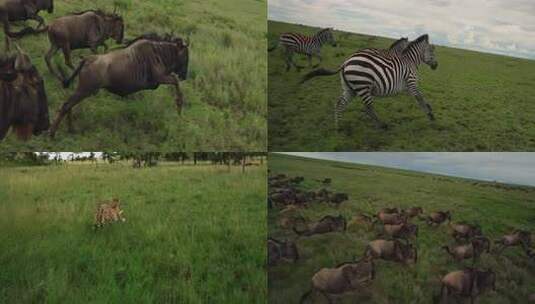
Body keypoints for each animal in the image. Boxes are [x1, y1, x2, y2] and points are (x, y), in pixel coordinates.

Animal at [302, 34, 440, 129]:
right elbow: (420, 98)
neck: (410, 61)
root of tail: (345, 62)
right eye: (432, 51)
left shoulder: (407, 87)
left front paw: (430, 113)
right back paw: (382, 125)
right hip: (363, 86)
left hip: (350, 89)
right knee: (368, 107)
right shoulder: (411, 83)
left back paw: (338, 127)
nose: (436, 66)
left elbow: (420, 99)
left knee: (340, 103)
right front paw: (431, 115)